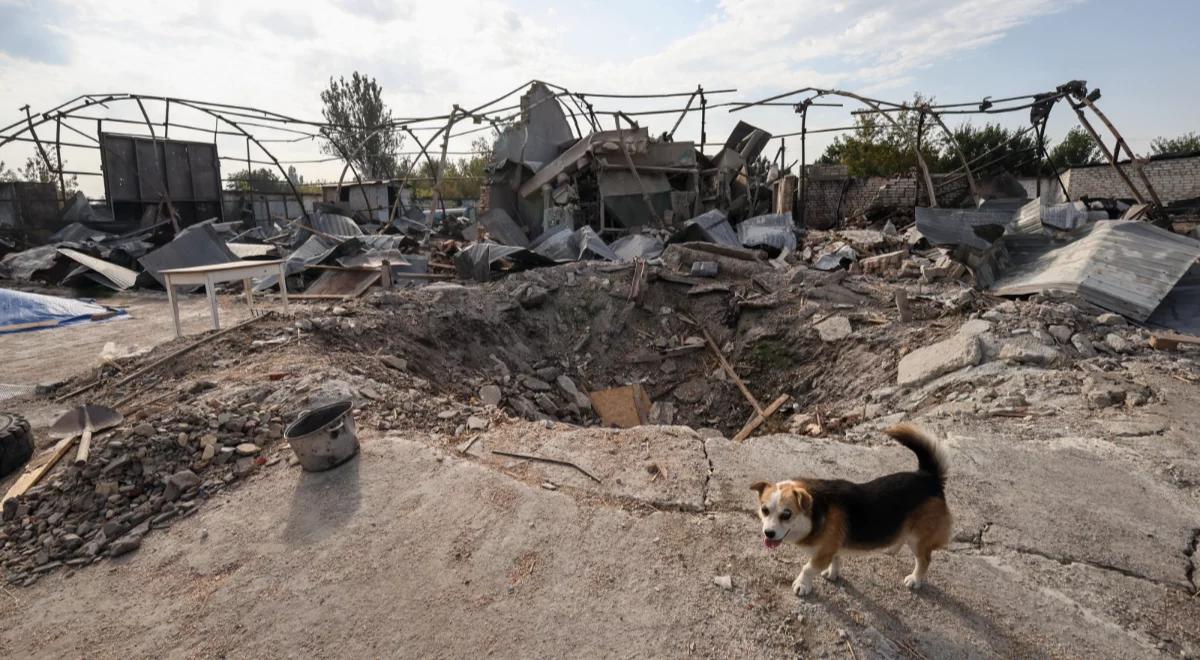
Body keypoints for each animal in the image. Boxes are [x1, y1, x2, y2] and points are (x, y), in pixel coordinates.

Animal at [748, 424, 955, 600]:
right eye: (764, 510)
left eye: (787, 514)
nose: (768, 533)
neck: (817, 512)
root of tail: (929, 477)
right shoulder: (832, 547)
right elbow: (836, 560)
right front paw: (832, 574)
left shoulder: (822, 553)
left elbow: (808, 568)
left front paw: (802, 585)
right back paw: (891, 547)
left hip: (919, 539)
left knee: (924, 560)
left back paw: (915, 579)